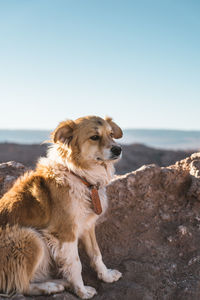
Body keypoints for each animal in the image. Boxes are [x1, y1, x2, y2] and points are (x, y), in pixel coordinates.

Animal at [0, 116, 122, 298]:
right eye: (94, 137)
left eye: (111, 134)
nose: (118, 149)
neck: (79, 176)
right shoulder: (65, 232)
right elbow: (76, 264)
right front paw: (82, 291)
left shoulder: (87, 225)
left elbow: (96, 254)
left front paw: (106, 276)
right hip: (30, 237)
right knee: (20, 285)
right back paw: (52, 286)